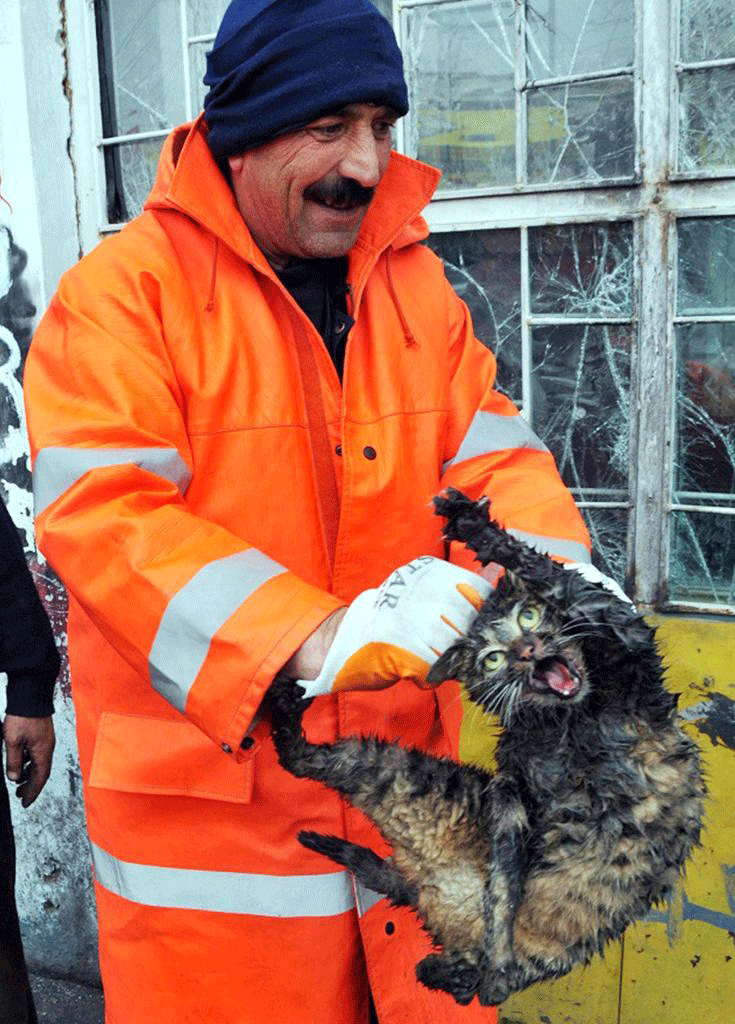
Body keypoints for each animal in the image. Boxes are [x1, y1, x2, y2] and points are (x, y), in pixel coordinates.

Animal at [269, 488, 705, 1007]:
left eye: (529, 616)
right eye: (492, 660)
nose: (526, 650)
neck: (567, 721)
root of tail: (421, 883)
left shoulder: (627, 640)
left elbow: (558, 577)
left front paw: (473, 525)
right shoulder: (511, 797)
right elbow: (502, 889)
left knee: (481, 986)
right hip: (400, 769)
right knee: (298, 759)